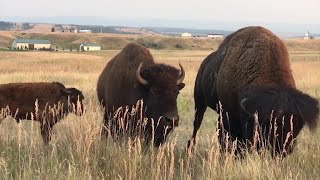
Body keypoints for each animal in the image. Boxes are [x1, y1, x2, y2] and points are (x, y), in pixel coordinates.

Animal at [189, 26, 318, 157]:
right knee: (197, 125)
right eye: (269, 124)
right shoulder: (230, 115)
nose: (282, 150)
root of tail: (204, 63)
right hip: (199, 102)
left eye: (298, 127)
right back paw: (191, 149)